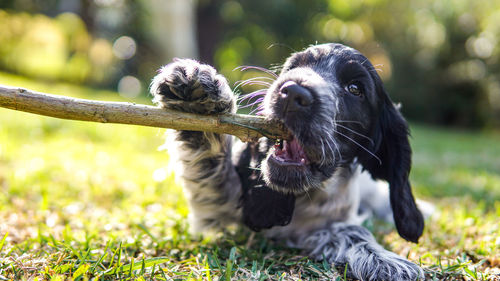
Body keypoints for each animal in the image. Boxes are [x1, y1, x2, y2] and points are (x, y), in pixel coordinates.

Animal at [150, 42, 424, 278]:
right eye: (293, 67)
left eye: (355, 89)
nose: (293, 92)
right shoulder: (219, 202)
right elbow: (209, 154)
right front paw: (196, 94)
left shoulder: (331, 219)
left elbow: (352, 230)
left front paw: (386, 261)